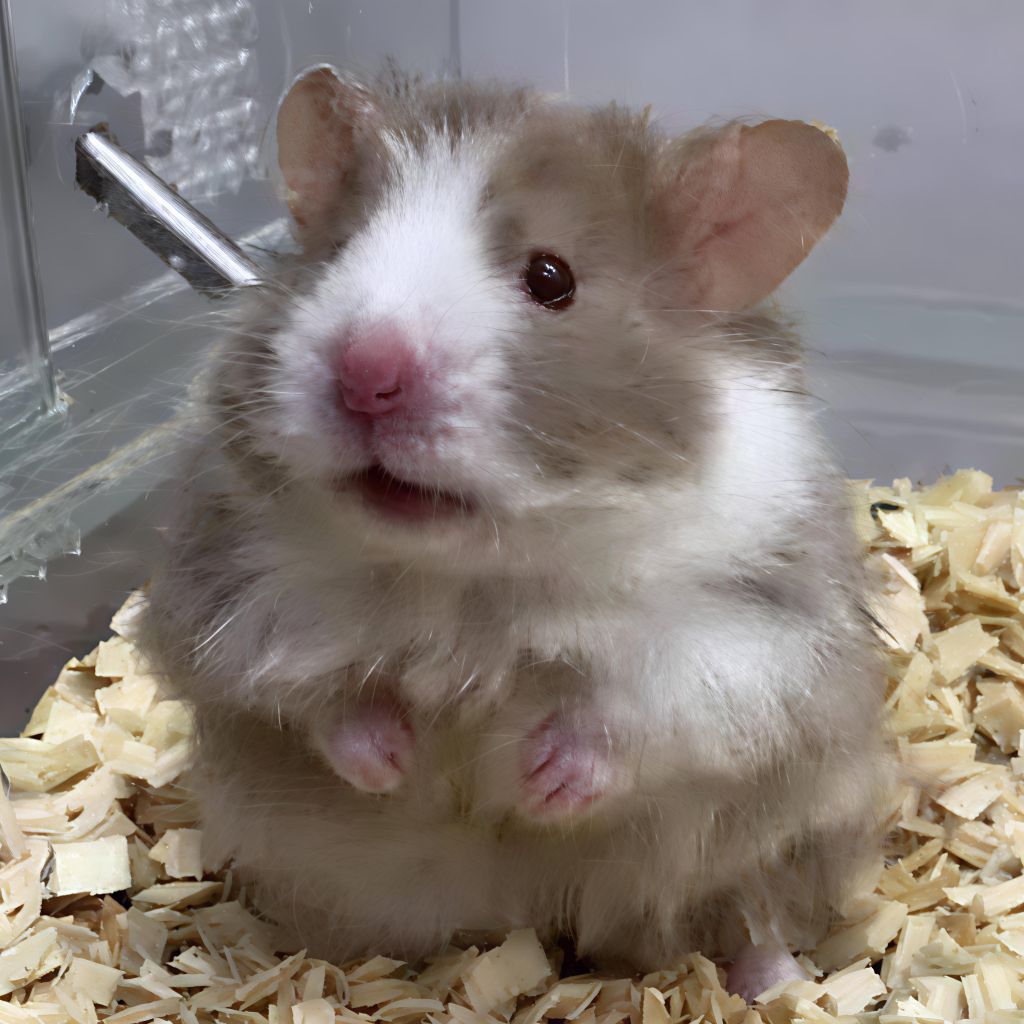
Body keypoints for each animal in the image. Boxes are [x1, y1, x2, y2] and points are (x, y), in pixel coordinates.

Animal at [139, 67, 889, 1001]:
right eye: (338, 253)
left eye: (550, 277)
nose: (366, 373)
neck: (476, 576)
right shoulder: (232, 600)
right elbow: (313, 700)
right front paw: (397, 765)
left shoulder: (742, 640)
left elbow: (634, 715)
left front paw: (539, 786)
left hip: (782, 838)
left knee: (746, 909)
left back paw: (778, 983)